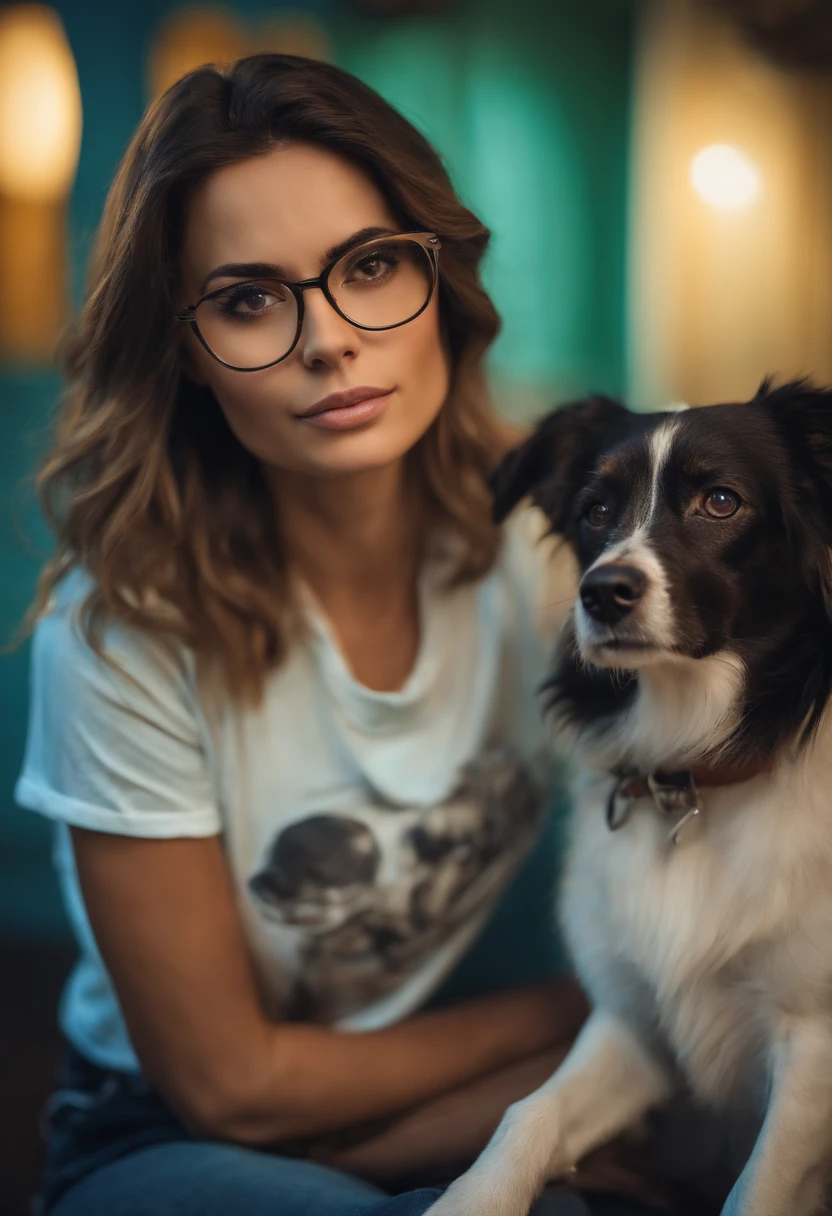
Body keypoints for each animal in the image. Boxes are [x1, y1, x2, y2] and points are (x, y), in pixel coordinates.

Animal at [428, 384, 832, 1216]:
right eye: (596, 510)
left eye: (721, 500)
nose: (602, 593)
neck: (698, 770)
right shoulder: (634, 1023)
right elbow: (529, 1112)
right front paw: (470, 1199)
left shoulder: (813, 1045)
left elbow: (759, 1188)